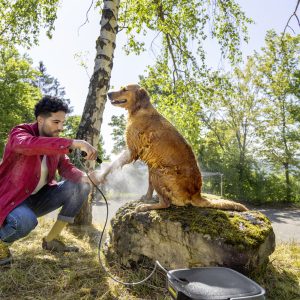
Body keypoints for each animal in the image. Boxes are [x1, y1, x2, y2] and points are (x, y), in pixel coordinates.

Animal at [98, 83, 246, 212]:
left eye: (124, 89)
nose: (108, 93)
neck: (139, 109)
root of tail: (196, 194)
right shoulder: (150, 161)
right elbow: (149, 185)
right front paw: (147, 197)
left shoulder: (132, 150)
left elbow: (113, 164)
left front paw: (100, 175)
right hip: (155, 168)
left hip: (159, 171)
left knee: (165, 204)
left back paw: (146, 207)